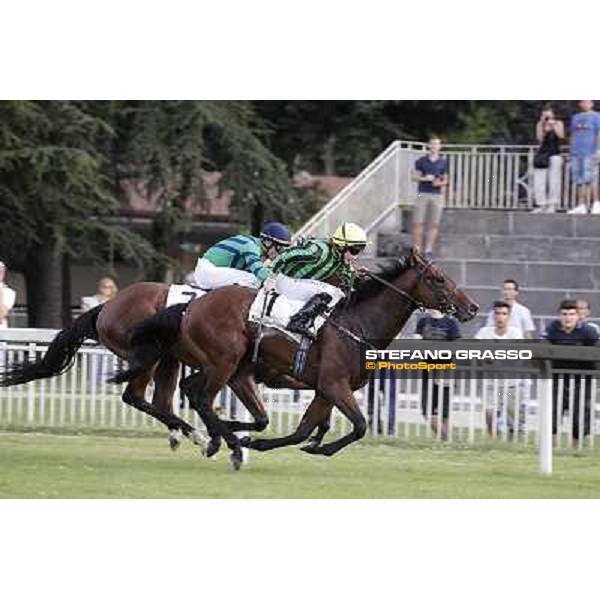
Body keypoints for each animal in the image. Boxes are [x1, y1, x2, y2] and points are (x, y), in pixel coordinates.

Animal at [0, 282, 209, 450]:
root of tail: (107, 305)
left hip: (167, 357)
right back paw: (199, 437)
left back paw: (181, 434)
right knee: (134, 396)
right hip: (148, 354)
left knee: (161, 401)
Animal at [111, 248, 478, 464]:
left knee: (191, 392)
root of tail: (191, 304)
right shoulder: (333, 384)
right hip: (224, 360)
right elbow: (359, 425)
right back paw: (228, 445)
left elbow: (305, 430)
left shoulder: (325, 389)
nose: (472, 307)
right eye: (438, 279)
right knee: (199, 398)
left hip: (226, 365)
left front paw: (278, 443)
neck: (357, 322)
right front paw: (320, 448)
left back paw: (218, 437)